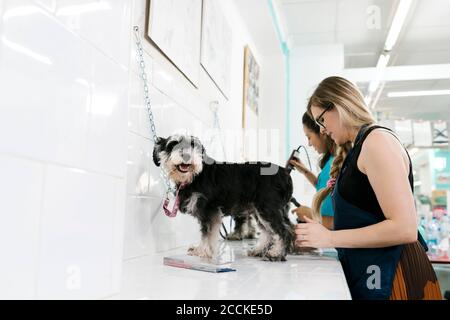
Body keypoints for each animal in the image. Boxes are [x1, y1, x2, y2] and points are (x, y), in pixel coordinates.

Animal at [153, 134, 296, 262]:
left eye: (193, 145)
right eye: (173, 145)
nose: (187, 156)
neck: (195, 176)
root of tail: (284, 172)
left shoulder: (209, 211)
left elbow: (207, 234)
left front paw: (205, 251)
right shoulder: (206, 214)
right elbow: (204, 233)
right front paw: (199, 249)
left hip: (267, 210)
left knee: (284, 231)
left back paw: (276, 254)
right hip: (259, 211)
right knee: (267, 232)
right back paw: (259, 250)